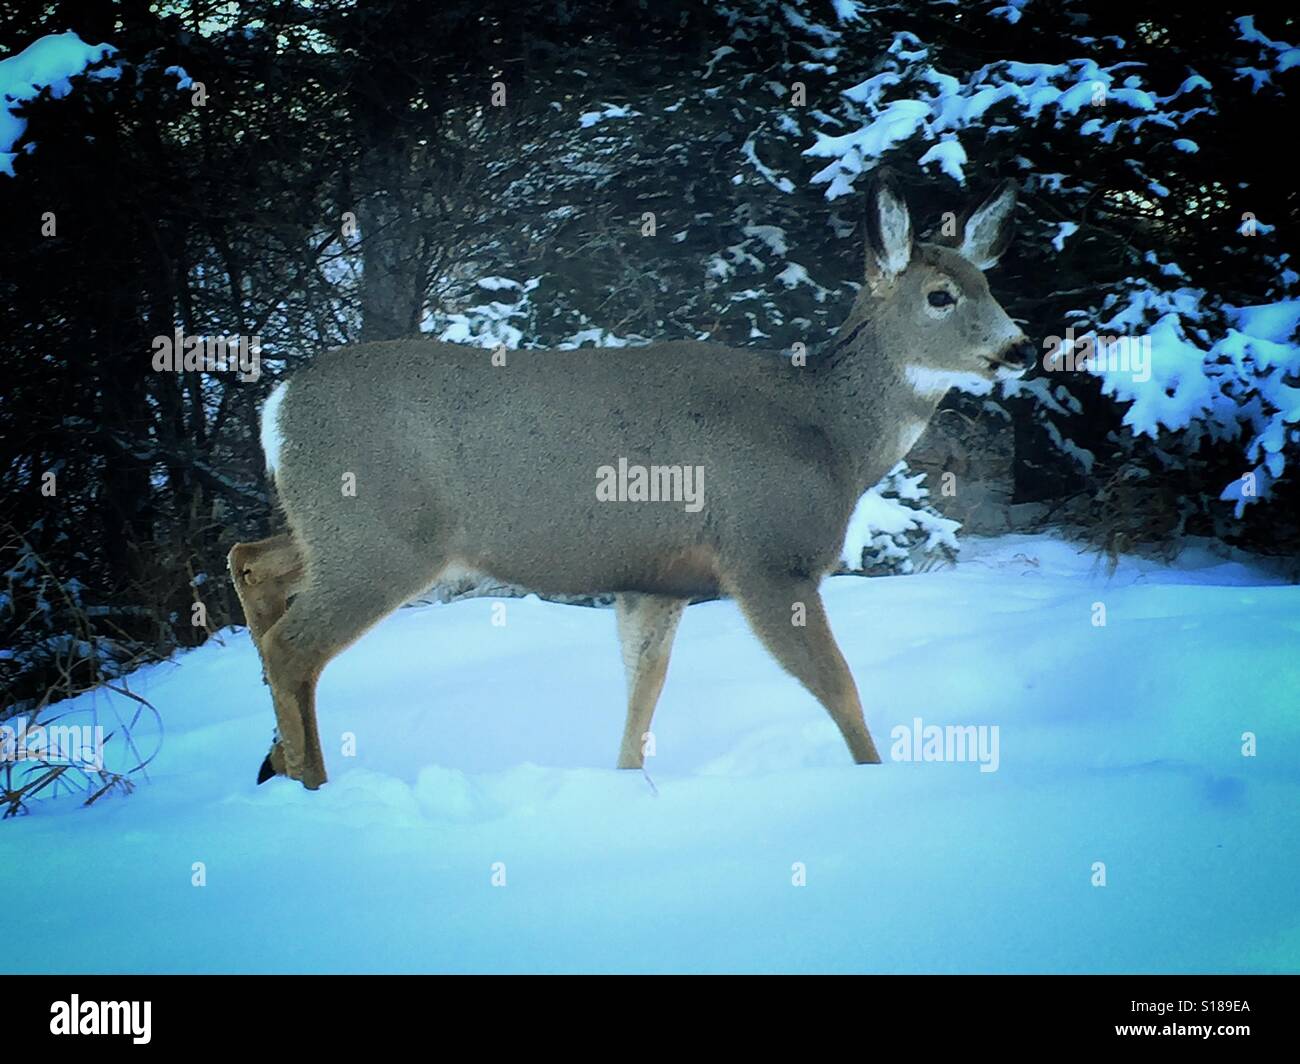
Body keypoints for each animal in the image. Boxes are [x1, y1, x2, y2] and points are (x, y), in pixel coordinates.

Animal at [228, 172, 1034, 790]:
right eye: (940, 295)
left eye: (989, 282)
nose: (1021, 346)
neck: (829, 432)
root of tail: (277, 404)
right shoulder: (768, 555)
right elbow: (840, 688)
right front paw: (876, 784)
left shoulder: (656, 581)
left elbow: (642, 697)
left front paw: (625, 790)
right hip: (381, 540)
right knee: (294, 647)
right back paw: (310, 786)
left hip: (337, 528)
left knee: (251, 564)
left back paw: (280, 764)